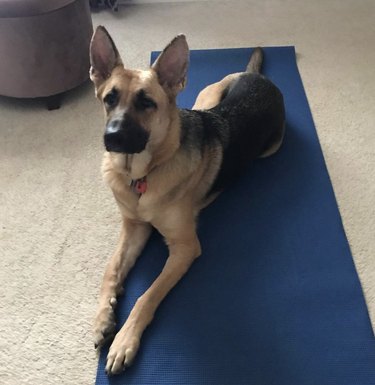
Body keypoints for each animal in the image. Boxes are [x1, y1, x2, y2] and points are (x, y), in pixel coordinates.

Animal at [90, 25, 284, 374]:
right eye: (109, 98)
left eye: (147, 103)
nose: (112, 138)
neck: (142, 175)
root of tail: (257, 76)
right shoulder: (134, 227)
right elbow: (110, 270)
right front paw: (103, 317)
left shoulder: (184, 248)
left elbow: (147, 295)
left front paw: (124, 340)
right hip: (203, 99)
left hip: (270, 145)